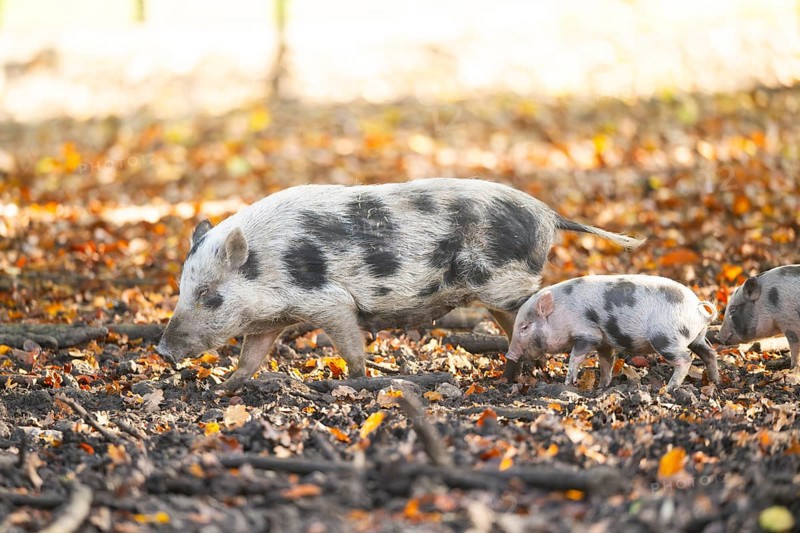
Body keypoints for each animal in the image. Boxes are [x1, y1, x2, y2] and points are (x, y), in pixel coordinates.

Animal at [155, 178, 644, 390]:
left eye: (210, 295)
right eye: (182, 290)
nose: (161, 350)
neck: (271, 266)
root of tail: (548, 214)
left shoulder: (330, 302)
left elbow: (350, 344)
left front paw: (357, 382)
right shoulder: (269, 319)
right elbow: (250, 357)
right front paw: (225, 386)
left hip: (505, 282)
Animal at [505, 275, 719, 391]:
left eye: (525, 327)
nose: (509, 354)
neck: (560, 313)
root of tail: (698, 311)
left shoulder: (587, 333)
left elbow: (575, 357)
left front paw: (569, 382)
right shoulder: (605, 341)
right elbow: (606, 362)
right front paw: (602, 386)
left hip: (666, 338)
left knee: (685, 359)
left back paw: (669, 388)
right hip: (697, 337)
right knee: (709, 352)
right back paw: (715, 381)